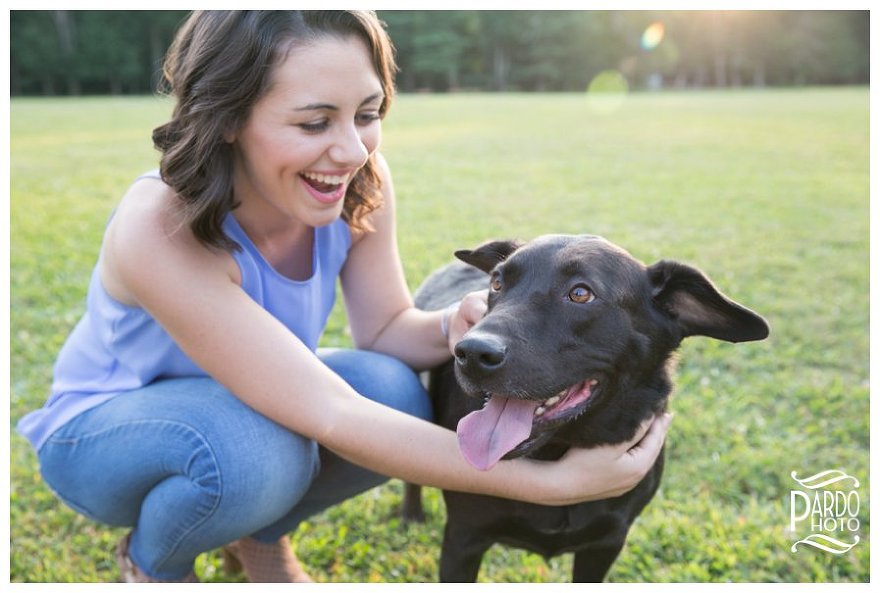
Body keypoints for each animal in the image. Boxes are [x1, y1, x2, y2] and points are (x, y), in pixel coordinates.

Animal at [402, 234, 768, 580]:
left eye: (580, 294)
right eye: (496, 283)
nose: (471, 353)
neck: (557, 448)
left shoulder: (605, 545)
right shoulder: (463, 539)